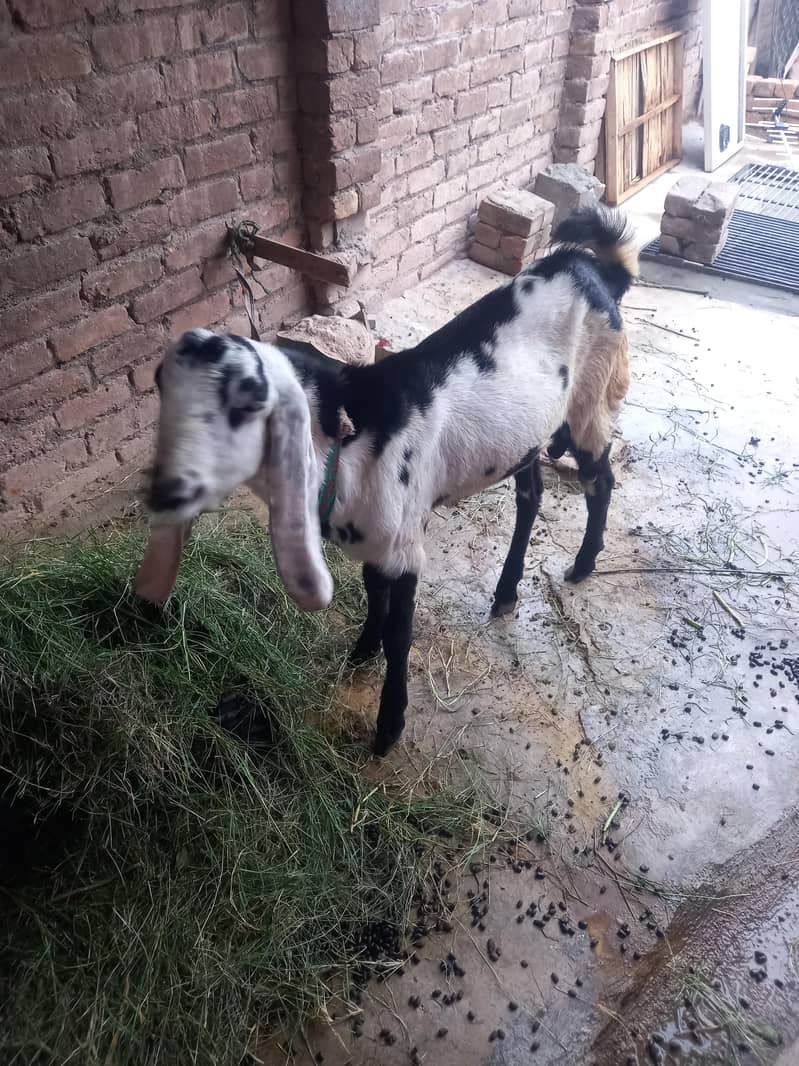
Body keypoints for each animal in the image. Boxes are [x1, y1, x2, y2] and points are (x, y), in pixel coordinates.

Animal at [134, 206, 637, 755]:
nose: (165, 491)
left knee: (601, 482)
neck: (348, 435)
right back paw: (506, 591)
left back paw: (583, 564)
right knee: (531, 497)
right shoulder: (374, 539)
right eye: (162, 388)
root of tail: (591, 269)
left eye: (247, 400)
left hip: (592, 401)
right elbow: (374, 592)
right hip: (527, 434)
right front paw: (363, 648)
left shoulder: (403, 544)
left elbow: (401, 633)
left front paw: (389, 724)